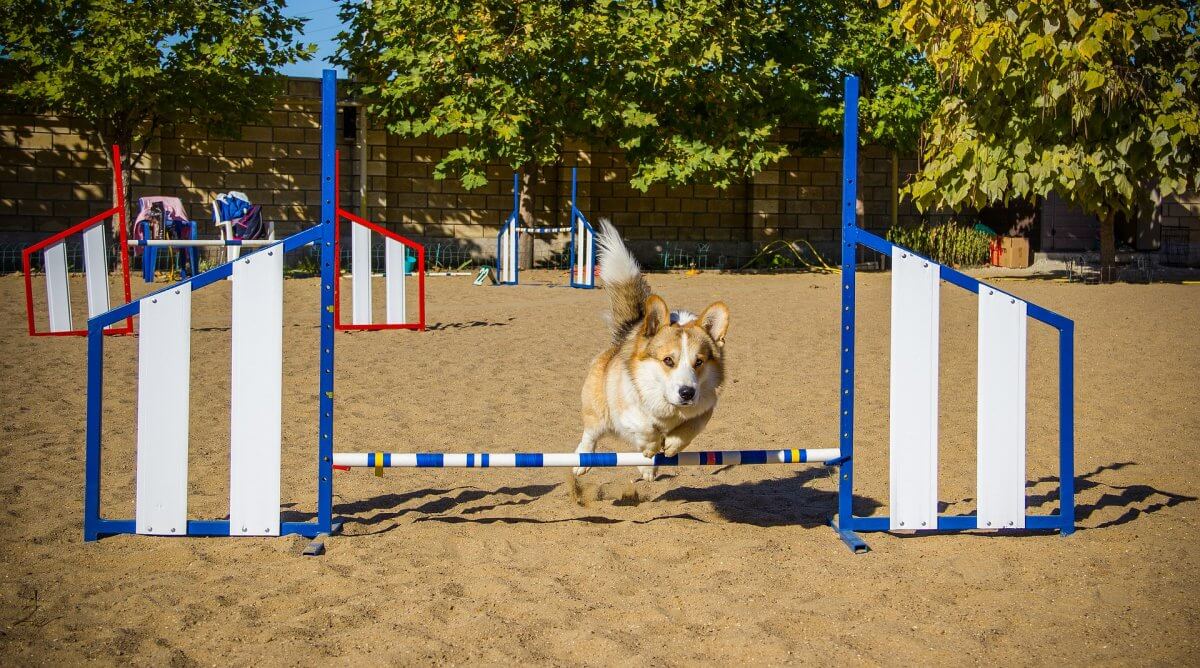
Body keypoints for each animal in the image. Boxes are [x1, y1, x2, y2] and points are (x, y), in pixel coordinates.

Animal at [573, 220, 729, 479]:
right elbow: (646, 427)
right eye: (668, 360)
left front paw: (672, 444)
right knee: (590, 434)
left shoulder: (706, 406)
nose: (687, 393)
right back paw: (581, 461)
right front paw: (652, 444)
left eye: (699, 362)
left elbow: (692, 426)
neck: (670, 408)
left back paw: (647, 466)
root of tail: (629, 329)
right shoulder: (627, 409)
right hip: (598, 412)